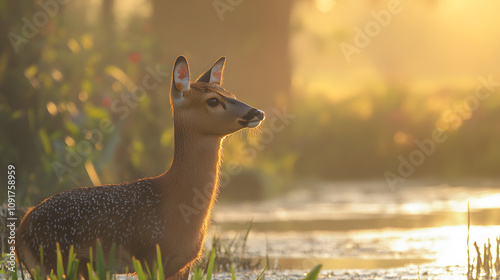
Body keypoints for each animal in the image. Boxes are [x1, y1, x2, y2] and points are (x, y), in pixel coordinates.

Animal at [15, 55, 266, 278]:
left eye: (231, 94)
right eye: (213, 100)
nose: (258, 112)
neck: (175, 201)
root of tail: (21, 232)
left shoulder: (183, 265)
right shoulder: (149, 257)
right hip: (54, 262)